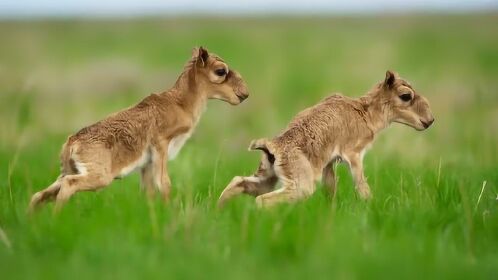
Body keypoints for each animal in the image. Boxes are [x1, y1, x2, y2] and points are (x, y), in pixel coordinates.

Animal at [29, 46, 249, 212]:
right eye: (220, 71)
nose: (245, 94)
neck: (180, 103)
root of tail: (71, 142)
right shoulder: (161, 147)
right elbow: (165, 183)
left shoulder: (146, 164)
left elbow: (149, 191)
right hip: (99, 177)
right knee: (67, 187)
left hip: (67, 172)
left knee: (38, 195)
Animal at [218, 71, 432, 209]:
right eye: (406, 95)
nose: (429, 120)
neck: (365, 112)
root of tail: (273, 146)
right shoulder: (354, 155)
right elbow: (362, 186)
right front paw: (371, 205)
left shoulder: (329, 163)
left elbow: (331, 189)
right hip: (301, 186)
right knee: (262, 200)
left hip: (267, 177)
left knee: (239, 182)